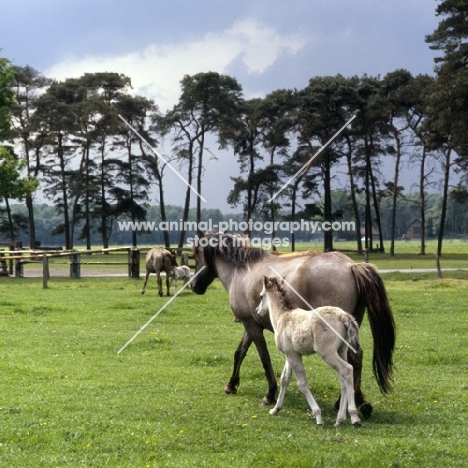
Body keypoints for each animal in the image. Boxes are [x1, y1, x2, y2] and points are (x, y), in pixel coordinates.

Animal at [256, 278, 362, 428]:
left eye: (261, 296)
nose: (257, 311)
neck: (283, 316)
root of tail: (344, 315)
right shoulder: (290, 354)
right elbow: (284, 379)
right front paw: (275, 409)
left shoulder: (293, 355)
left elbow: (302, 383)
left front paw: (318, 416)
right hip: (342, 350)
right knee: (343, 378)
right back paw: (339, 419)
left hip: (327, 352)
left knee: (347, 369)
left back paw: (354, 417)